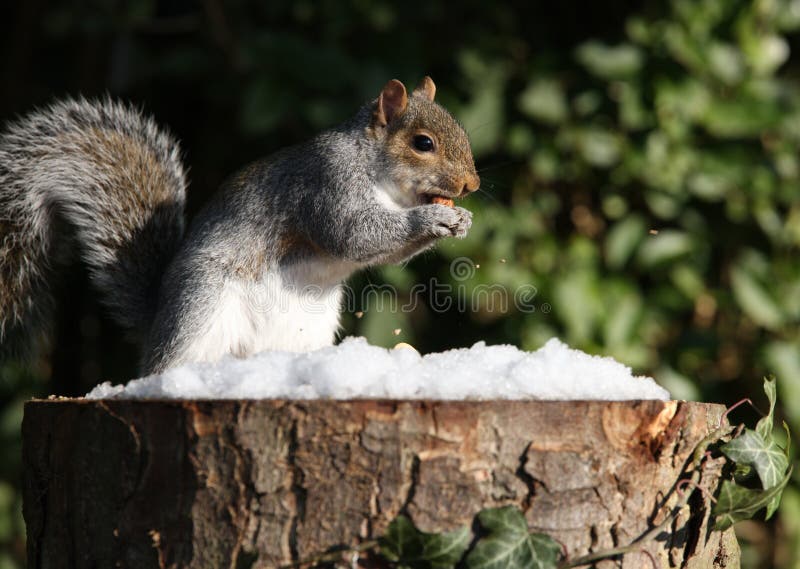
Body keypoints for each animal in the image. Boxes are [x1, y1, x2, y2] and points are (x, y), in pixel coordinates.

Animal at [0, 77, 482, 374]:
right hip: (199, 303)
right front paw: (433, 217)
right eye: (423, 143)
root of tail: (156, 321)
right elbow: (354, 236)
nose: (472, 186)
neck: (381, 180)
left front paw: (461, 221)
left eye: (462, 130)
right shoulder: (327, 185)